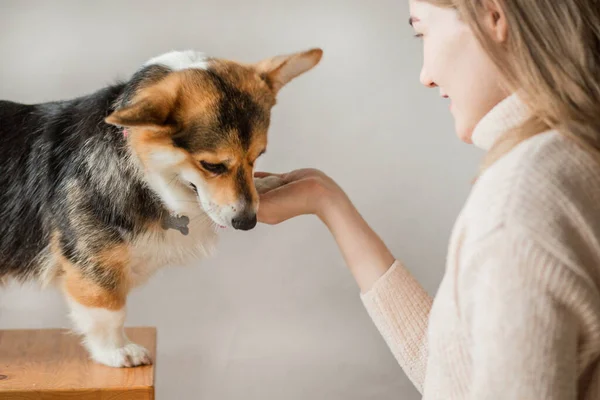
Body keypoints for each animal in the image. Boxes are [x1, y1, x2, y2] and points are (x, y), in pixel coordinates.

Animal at [0, 47, 322, 366]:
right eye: (212, 166)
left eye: (257, 157)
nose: (246, 222)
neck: (141, 168)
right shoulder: (93, 264)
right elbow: (109, 311)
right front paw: (118, 351)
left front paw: (267, 185)